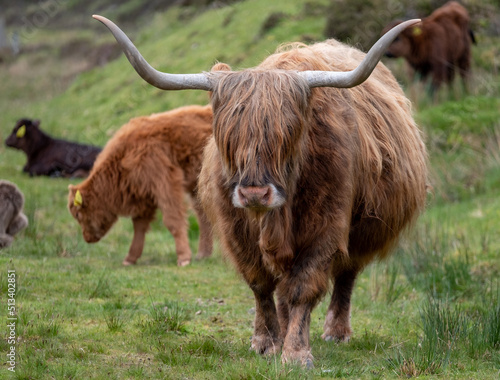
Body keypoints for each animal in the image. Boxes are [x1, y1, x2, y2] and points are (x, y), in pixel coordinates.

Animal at [94, 16, 430, 366]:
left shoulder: (327, 227)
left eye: (288, 133)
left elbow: (304, 286)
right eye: (228, 135)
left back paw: (336, 332)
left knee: (345, 276)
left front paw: (296, 352)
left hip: (364, 231)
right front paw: (266, 341)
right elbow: (260, 284)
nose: (255, 194)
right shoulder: (236, 229)